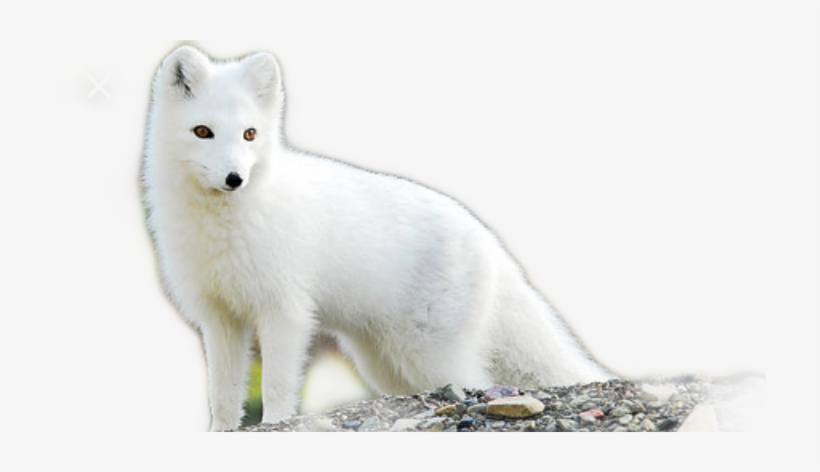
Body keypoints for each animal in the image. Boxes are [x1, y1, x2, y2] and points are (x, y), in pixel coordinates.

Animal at [142, 45, 613, 431]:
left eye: (250, 134)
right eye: (202, 131)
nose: (234, 178)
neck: (221, 227)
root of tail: (488, 239)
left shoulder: (284, 310)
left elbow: (276, 385)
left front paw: (275, 424)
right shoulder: (219, 317)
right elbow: (223, 394)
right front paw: (221, 432)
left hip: (429, 354)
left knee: (475, 383)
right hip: (383, 360)